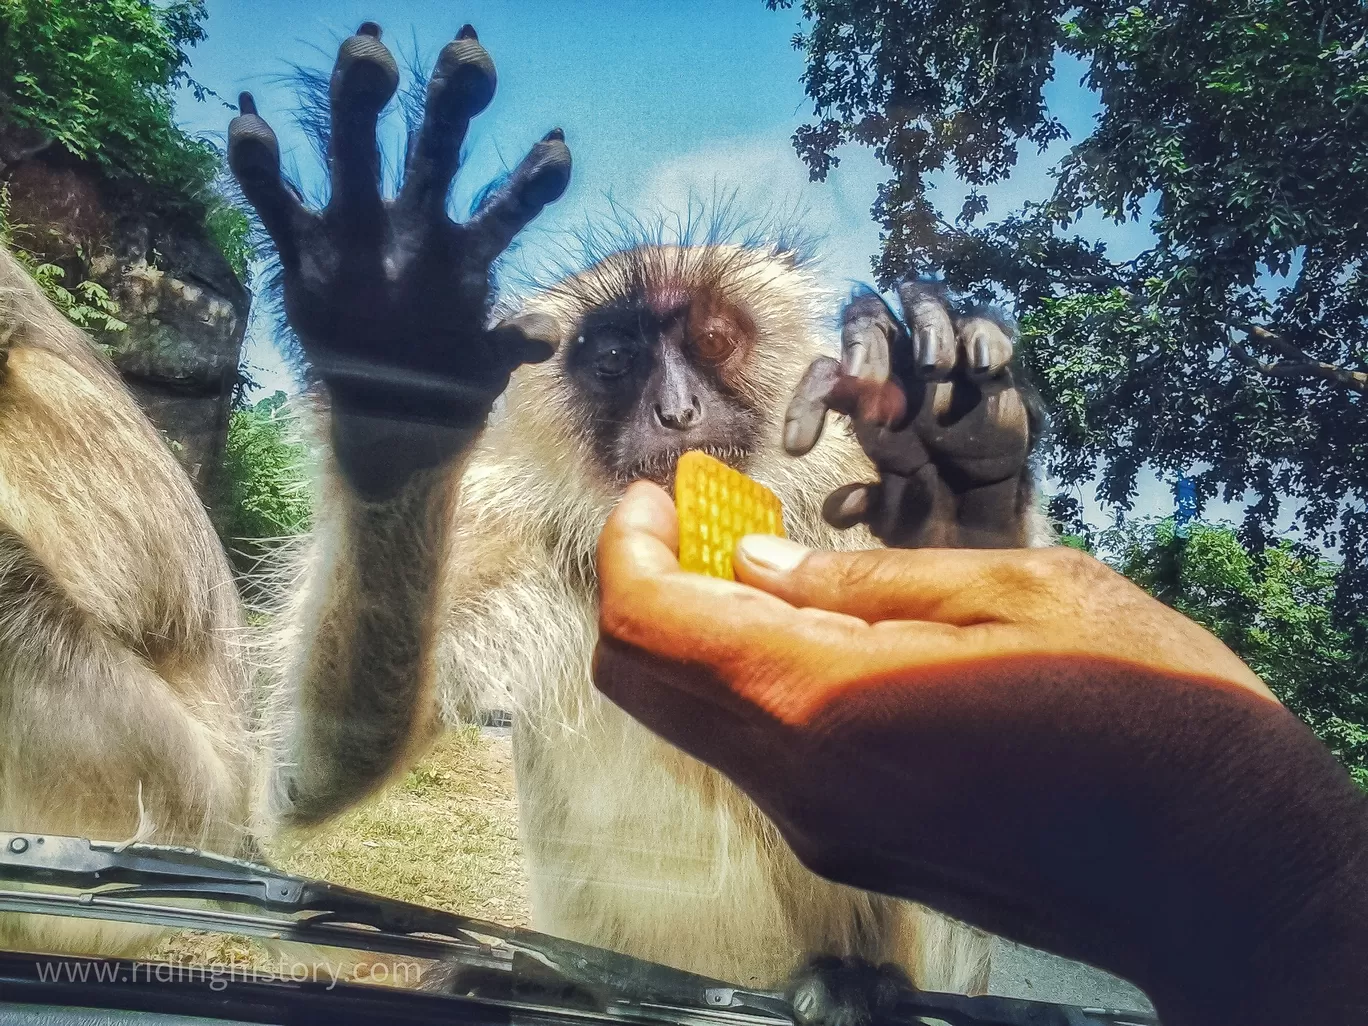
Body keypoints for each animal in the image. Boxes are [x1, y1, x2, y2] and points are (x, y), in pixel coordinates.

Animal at [232, 20, 1045, 1023]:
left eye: (712, 341)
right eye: (617, 359)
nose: (677, 410)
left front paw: (961, 501)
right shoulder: (513, 532)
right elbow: (305, 780)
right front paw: (393, 365)